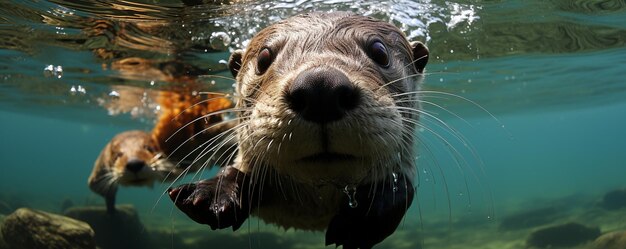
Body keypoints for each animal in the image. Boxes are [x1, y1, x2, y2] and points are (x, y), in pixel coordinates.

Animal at [167, 11, 428, 247]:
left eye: (380, 52)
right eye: (263, 58)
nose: (321, 87)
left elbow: (403, 188)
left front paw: (362, 222)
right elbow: (235, 172)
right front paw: (210, 195)